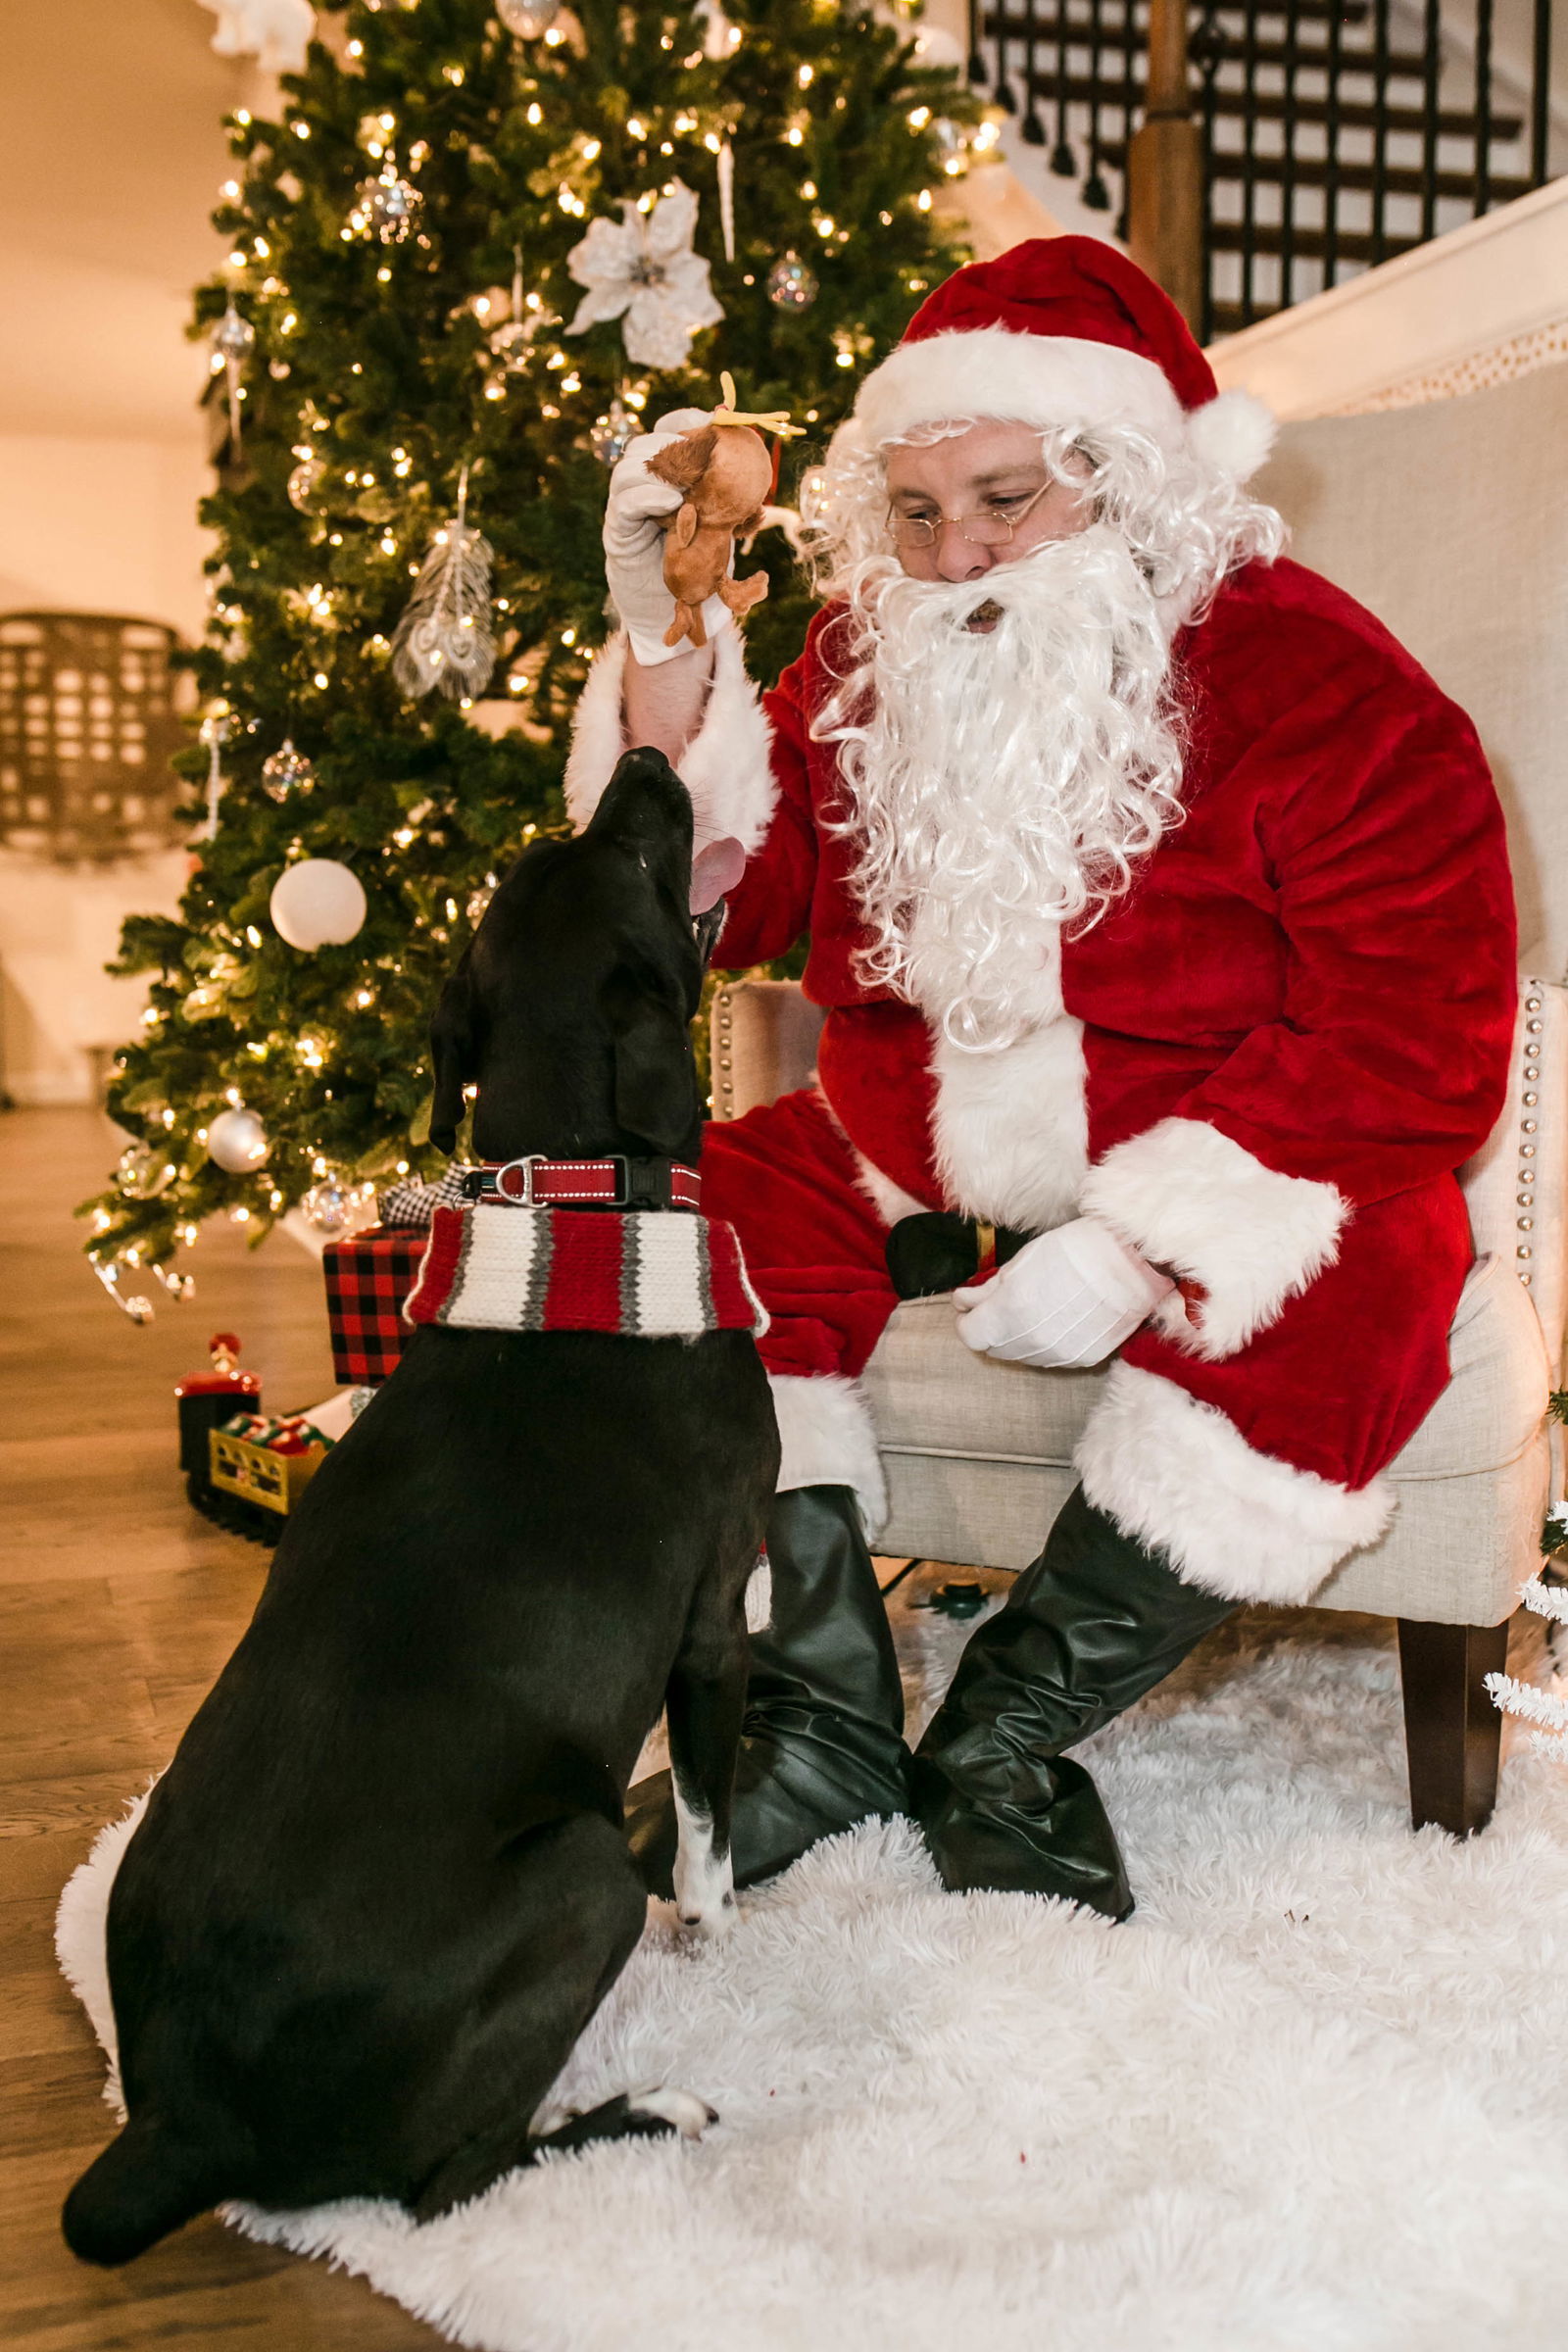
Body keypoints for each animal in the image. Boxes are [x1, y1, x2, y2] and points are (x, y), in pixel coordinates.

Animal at [66, 748, 780, 2258]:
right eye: (630, 859)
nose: (641, 756)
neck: (576, 1200)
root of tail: (181, 2122)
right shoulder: (713, 1612)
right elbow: (707, 1822)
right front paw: (723, 1924)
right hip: (578, 1878)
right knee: (446, 2181)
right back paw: (644, 2111)